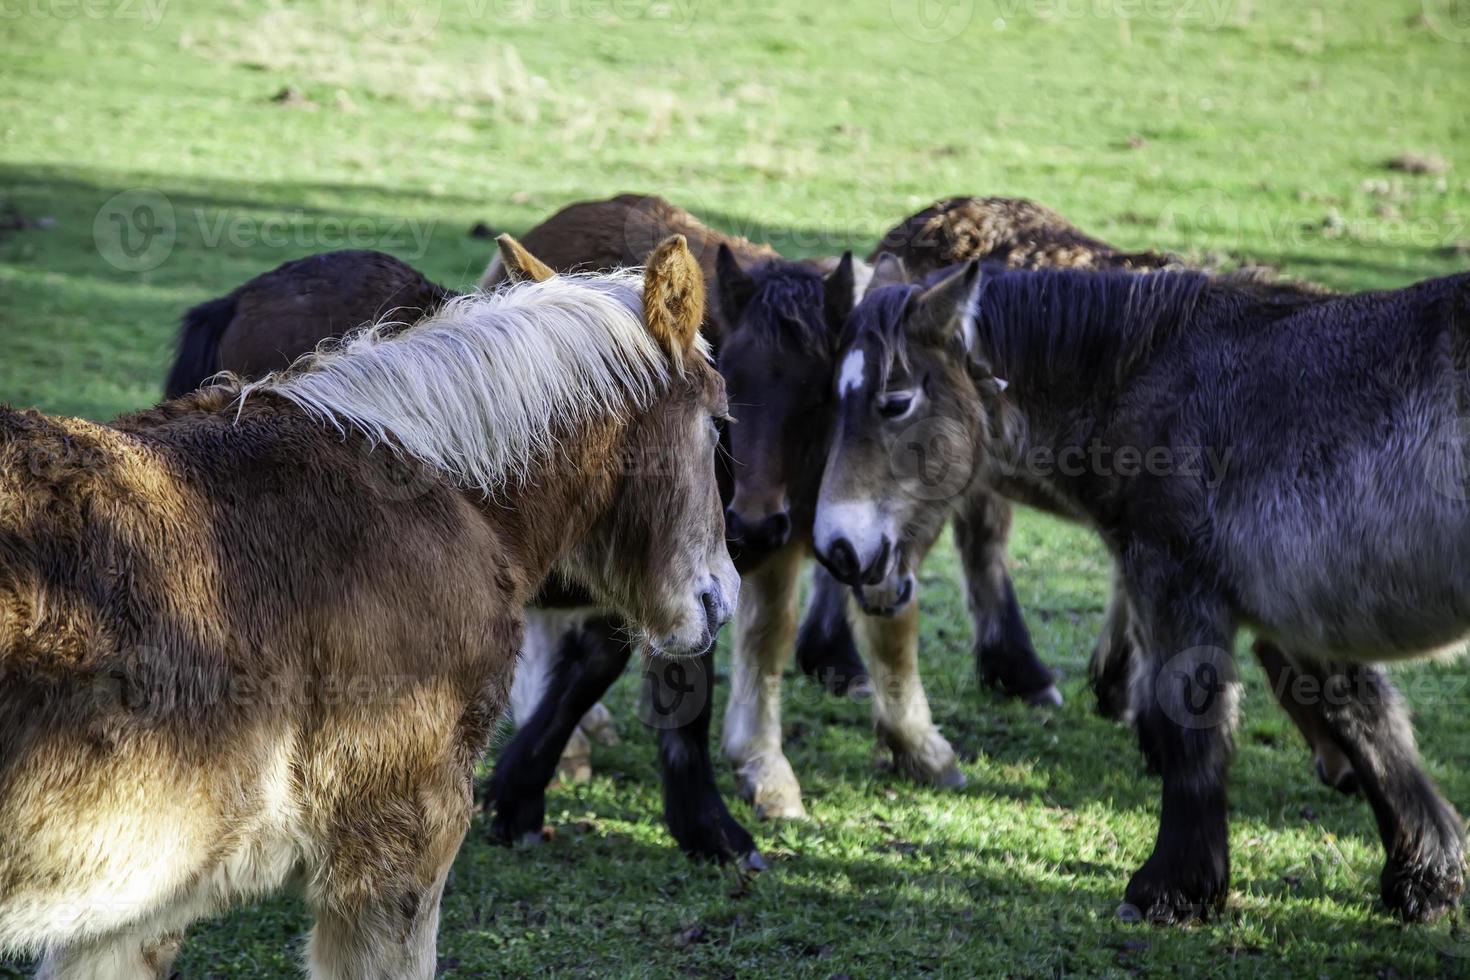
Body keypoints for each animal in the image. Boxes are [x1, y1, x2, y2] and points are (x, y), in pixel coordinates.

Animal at [817, 257, 1470, 922]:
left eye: (895, 402)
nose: (838, 548)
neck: (1150, 378)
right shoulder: (1296, 609)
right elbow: (1364, 718)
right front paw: (1425, 878)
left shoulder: (1179, 589)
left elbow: (1192, 728)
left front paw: (1172, 889)